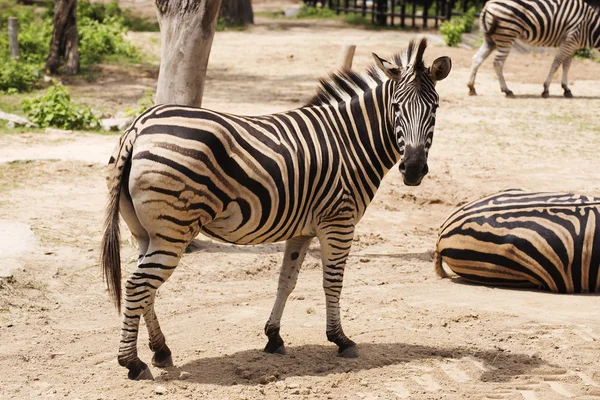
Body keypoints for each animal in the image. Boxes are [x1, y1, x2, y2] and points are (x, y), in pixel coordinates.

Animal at [101, 38, 452, 382]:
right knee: (137, 286)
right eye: (396, 108)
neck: (350, 141)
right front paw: (340, 339)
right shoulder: (338, 221)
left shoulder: (303, 229)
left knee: (146, 289)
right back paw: (132, 362)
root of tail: (139, 127)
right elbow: (332, 282)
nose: (413, 169)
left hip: (146, 231)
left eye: (434, 108)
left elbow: (287, 281)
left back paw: (161, 350)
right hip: (173, 230)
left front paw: (274, 337)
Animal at [468, 0, 600, 98]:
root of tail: (488, 4)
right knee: (498, 63)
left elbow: (566, 66)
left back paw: (471, 88)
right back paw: (507, 90)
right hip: (506, 36)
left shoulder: (573, 46)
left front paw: (566, 89)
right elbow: (556, 64)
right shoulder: (569, 40)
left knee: (477, 58)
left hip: (490, 39)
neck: (590, 27)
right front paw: (546, 89)